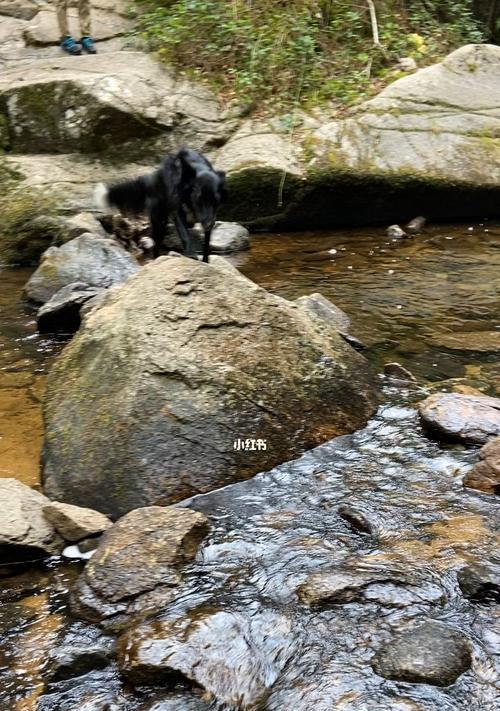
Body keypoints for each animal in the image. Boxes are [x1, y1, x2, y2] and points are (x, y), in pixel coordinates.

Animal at [95, 148, 227, 264]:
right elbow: (185, 235)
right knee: (156, 244)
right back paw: (156, 260)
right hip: (159, 221)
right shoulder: (177, 211)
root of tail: (151, 178)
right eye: (198, 200)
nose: (208, 224)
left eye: (216, 201)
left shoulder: (212, 216)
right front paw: (191, 254)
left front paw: (205, 261)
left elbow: (206, 243)